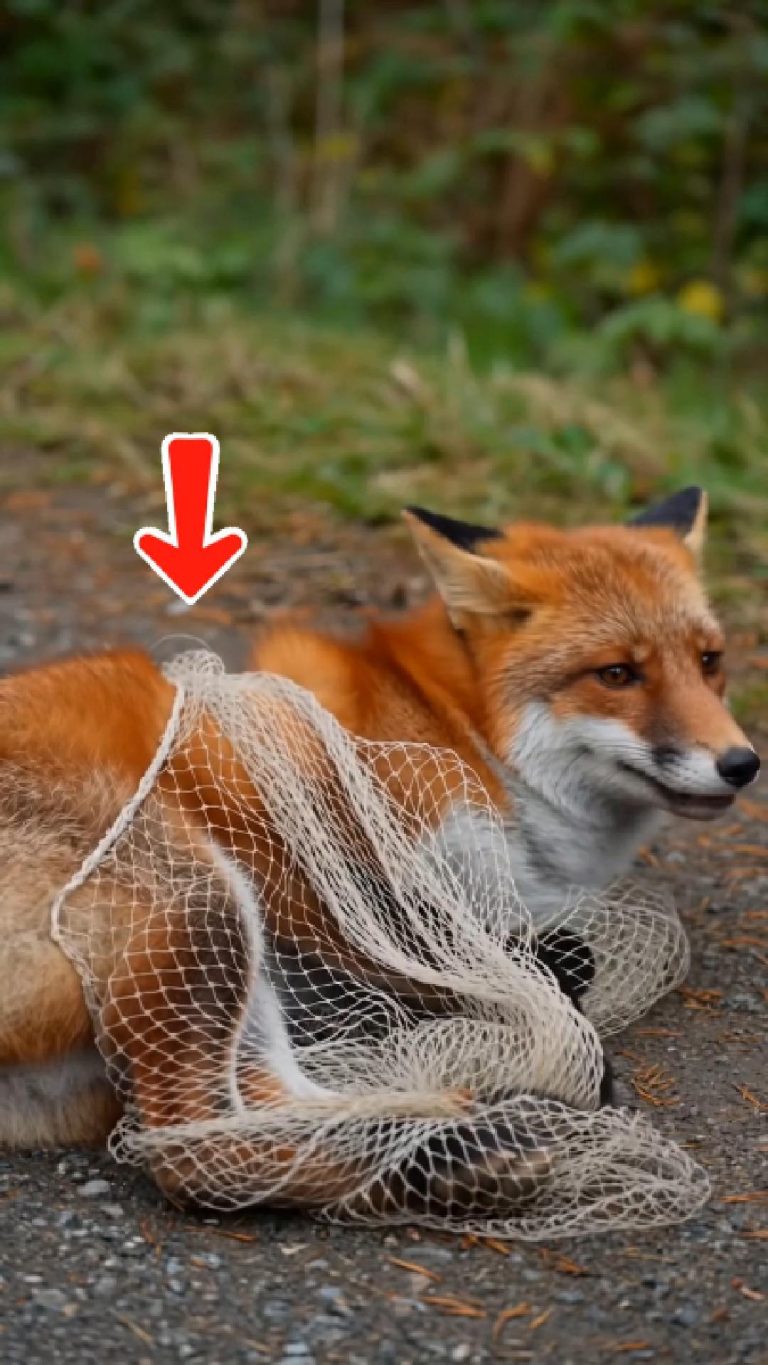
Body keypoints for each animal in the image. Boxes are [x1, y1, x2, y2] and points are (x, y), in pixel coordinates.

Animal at [0, 487, 759, 1215]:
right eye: (618, 674)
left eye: (710, 662)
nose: (742, 763)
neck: (459, 730)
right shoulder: (356, 876)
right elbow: (529, 962)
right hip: (202, 902)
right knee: (198, 1150)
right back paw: (451, 1155)